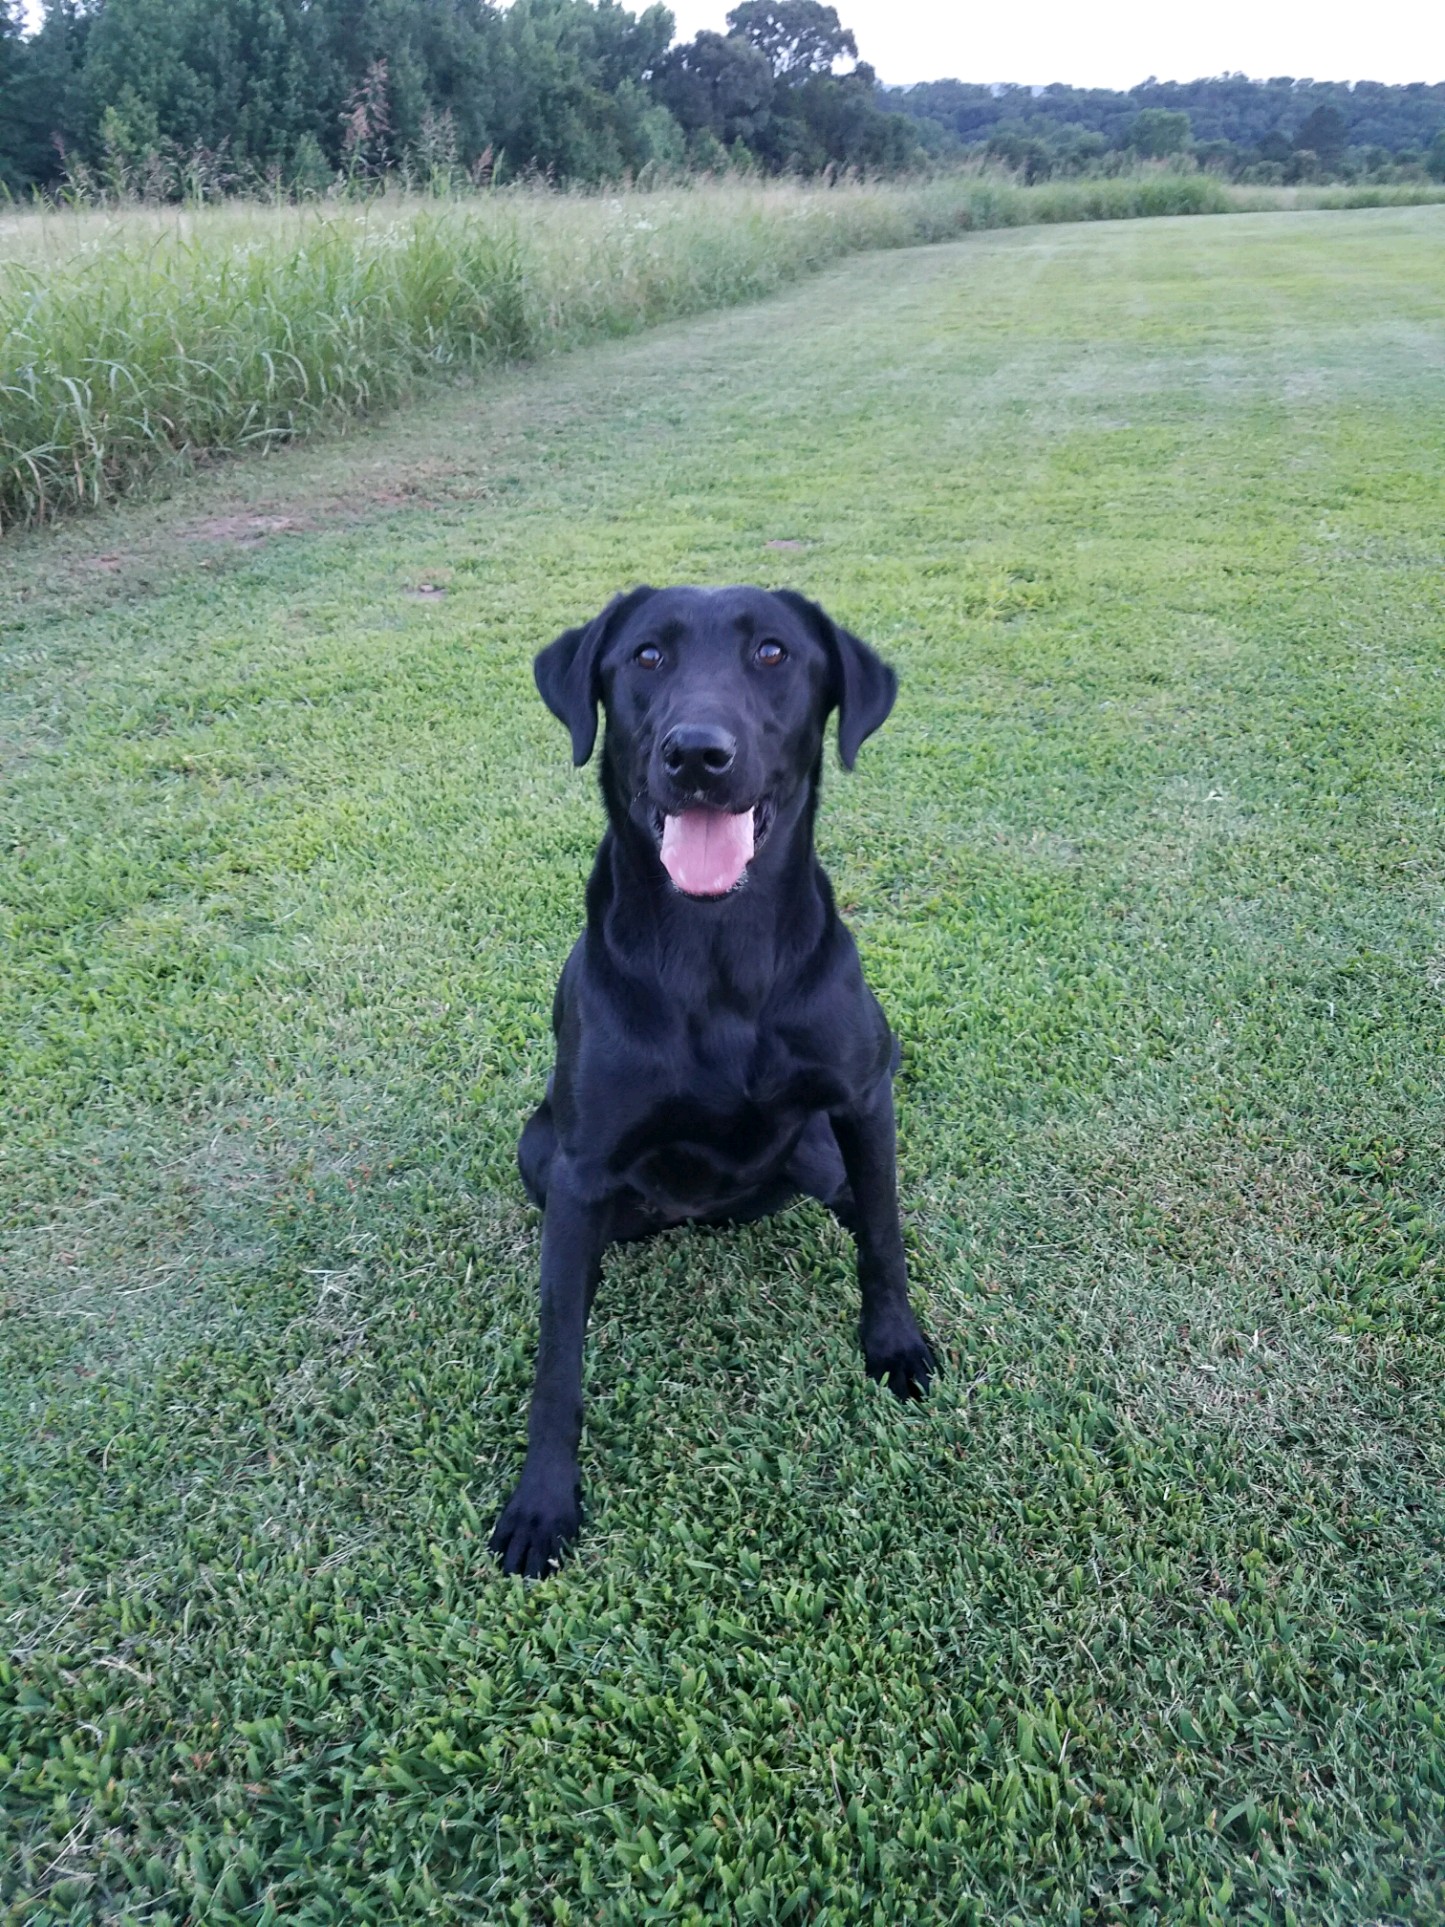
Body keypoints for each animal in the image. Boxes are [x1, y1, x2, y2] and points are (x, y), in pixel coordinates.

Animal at [489, 589, 940, 1580]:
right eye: (646, 656)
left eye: (773, 653)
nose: (696, 754)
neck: (717, 951)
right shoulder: (579, 1166)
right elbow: (557, 1355)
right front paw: (543, 1501)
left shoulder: (863, 1099)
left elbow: (884, 1242)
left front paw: (894, 1345)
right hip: (539, 1153)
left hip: (817, 1150)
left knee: (857, 1203)